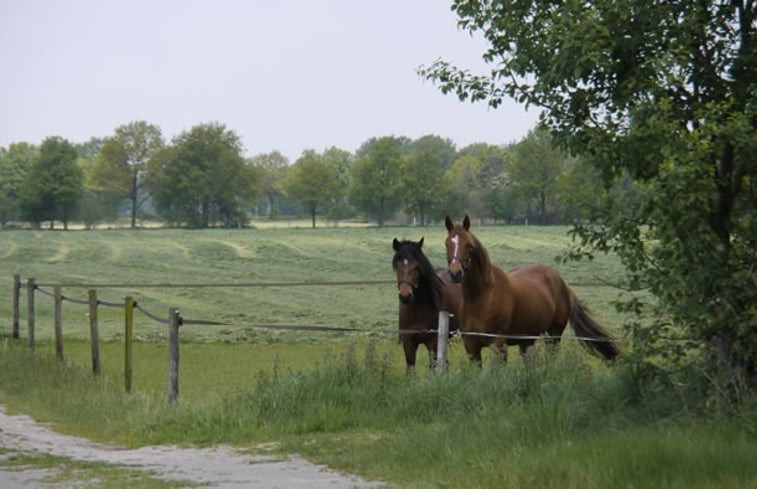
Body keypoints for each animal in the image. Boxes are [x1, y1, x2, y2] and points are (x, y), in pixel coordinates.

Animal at [392, 238, 464, 368]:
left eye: (416, 267)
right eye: (397, 266)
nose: (405, 296)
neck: (418, 311)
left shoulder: (433, 344)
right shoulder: (408, 344)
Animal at [442, 215, 616, 364]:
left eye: (469, 245)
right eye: (447, 244)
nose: (455, 273)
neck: (481, 297)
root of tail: (563, 283)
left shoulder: (498, 344)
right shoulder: (471, 347)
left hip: (553, 335)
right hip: (527, 340)